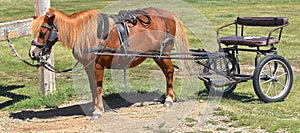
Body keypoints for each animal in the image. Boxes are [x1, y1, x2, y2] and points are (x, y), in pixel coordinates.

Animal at [29, 7, 190, 119]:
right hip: (157, 55)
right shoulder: (89, 67)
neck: (87, 33)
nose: (32, 53)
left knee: (169, 72)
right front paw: (94, 107)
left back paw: (169, 98)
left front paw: (98, 110)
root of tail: (168, 15)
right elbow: (93, 88)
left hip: (164, 54)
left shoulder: (97, 66)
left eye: (42, 32)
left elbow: (98, 88)